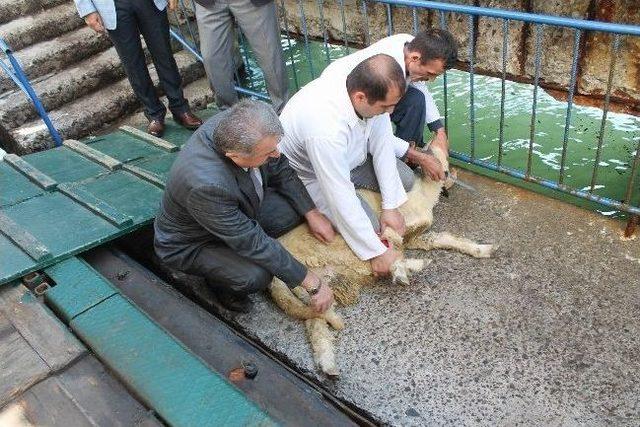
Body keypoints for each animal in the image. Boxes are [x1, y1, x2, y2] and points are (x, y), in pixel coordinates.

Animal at [268, 145, 498, 378]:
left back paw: (327, 363)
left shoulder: (415, 237)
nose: (428, 146)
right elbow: (395, 242)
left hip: (317, 289)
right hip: (329, 260)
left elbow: (443, 238)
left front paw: (482, 249)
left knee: (316, 322)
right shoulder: (391, 228)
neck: (424, 191)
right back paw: (410, 269)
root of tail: (275, 273)